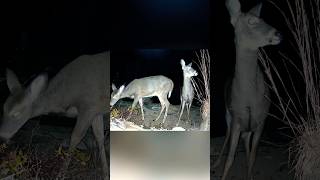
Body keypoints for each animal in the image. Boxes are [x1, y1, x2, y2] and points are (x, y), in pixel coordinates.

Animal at [0, 50, 110, 179]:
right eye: (3, 108)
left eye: (16, 113)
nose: (1, 136)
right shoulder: (96, 110)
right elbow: (99, 138)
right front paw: (106, 173)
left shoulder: (88, 106)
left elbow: (75, 138)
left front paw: (61, 174)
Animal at [214, 0, 282, 180]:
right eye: (251, 21)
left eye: (262, 18)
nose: (278, 33)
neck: (249, 97)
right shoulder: (237, 118)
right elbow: (230, 158)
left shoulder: (261, 120)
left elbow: (253, 155)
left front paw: (249, 173)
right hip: (227, 114)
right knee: (226, 136)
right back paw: (215, 163)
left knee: (246, 140)